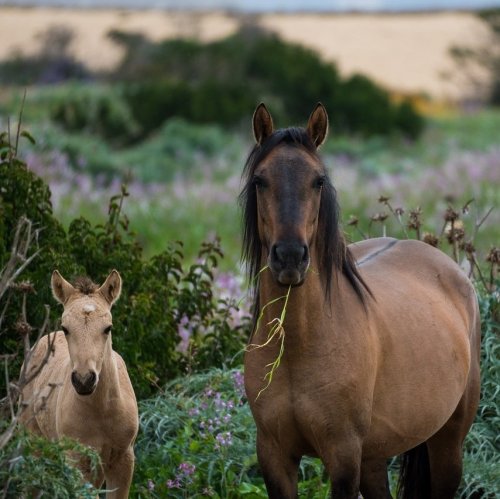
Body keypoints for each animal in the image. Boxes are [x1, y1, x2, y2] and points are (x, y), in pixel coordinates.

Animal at [20, 272, 139, 498]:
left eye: (108, 328)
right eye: (65, 328)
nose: (84, 380)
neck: (102, 411)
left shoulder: (123, 459)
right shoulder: (77, 461)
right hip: (35, 442)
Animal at [240, 103, 482, 498]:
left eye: (318, 181)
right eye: (260, 180)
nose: (290, 257)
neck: (298, 349)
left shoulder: (343, 456)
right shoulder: (274, 455)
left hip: (448, 442)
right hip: (374, 455)